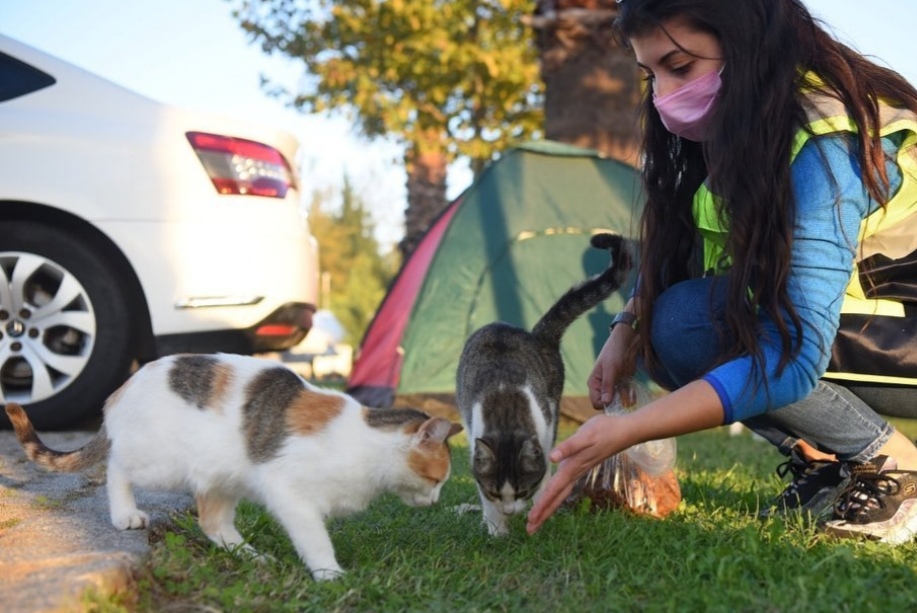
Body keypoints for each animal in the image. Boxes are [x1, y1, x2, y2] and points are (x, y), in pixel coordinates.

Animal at [3, 352, 466, 580]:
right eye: (437, 478)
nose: (436, 501)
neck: (366, 441)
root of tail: (120, 389)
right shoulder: (288, 491)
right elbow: (314, 538)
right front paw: (330, 574)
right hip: (160, 461)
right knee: (116, 466)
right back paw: (125, 513)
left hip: (222, 476)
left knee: (213, 523)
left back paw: (252, 556)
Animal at [456, 232, 632, 532]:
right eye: (494, 492)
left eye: (522, 491)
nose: (510, 510)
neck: (505, 409)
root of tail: (536, 335)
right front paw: (497, 529)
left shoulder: (547, 426)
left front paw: (540, 512)